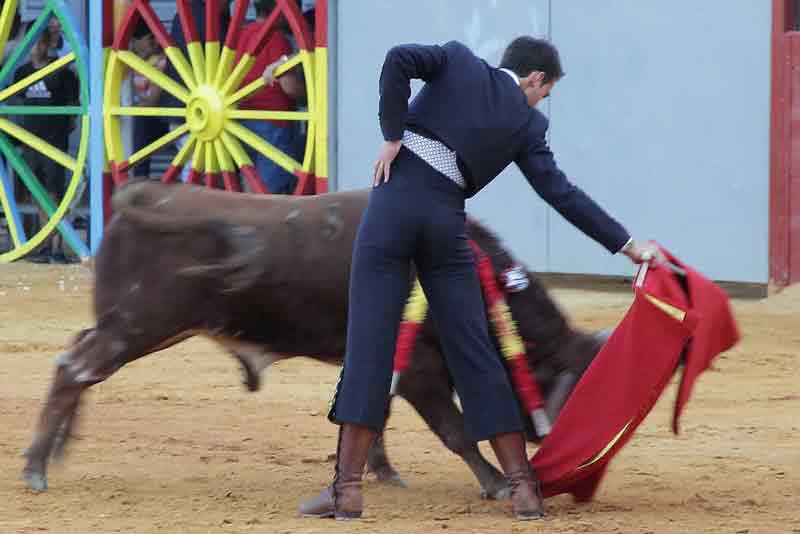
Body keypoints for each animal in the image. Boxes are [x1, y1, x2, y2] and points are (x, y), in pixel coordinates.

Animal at [21, 184, 604, 502]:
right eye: (573, 388)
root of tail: (141, 195)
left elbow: (374, 412)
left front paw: (379, 472)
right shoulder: (420, 370)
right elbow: (454, 429)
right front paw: (497, 483)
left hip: (126, 323)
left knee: (76, 357)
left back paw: (54, 452)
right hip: (140, 324)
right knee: (72, 368)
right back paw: (34, 468)